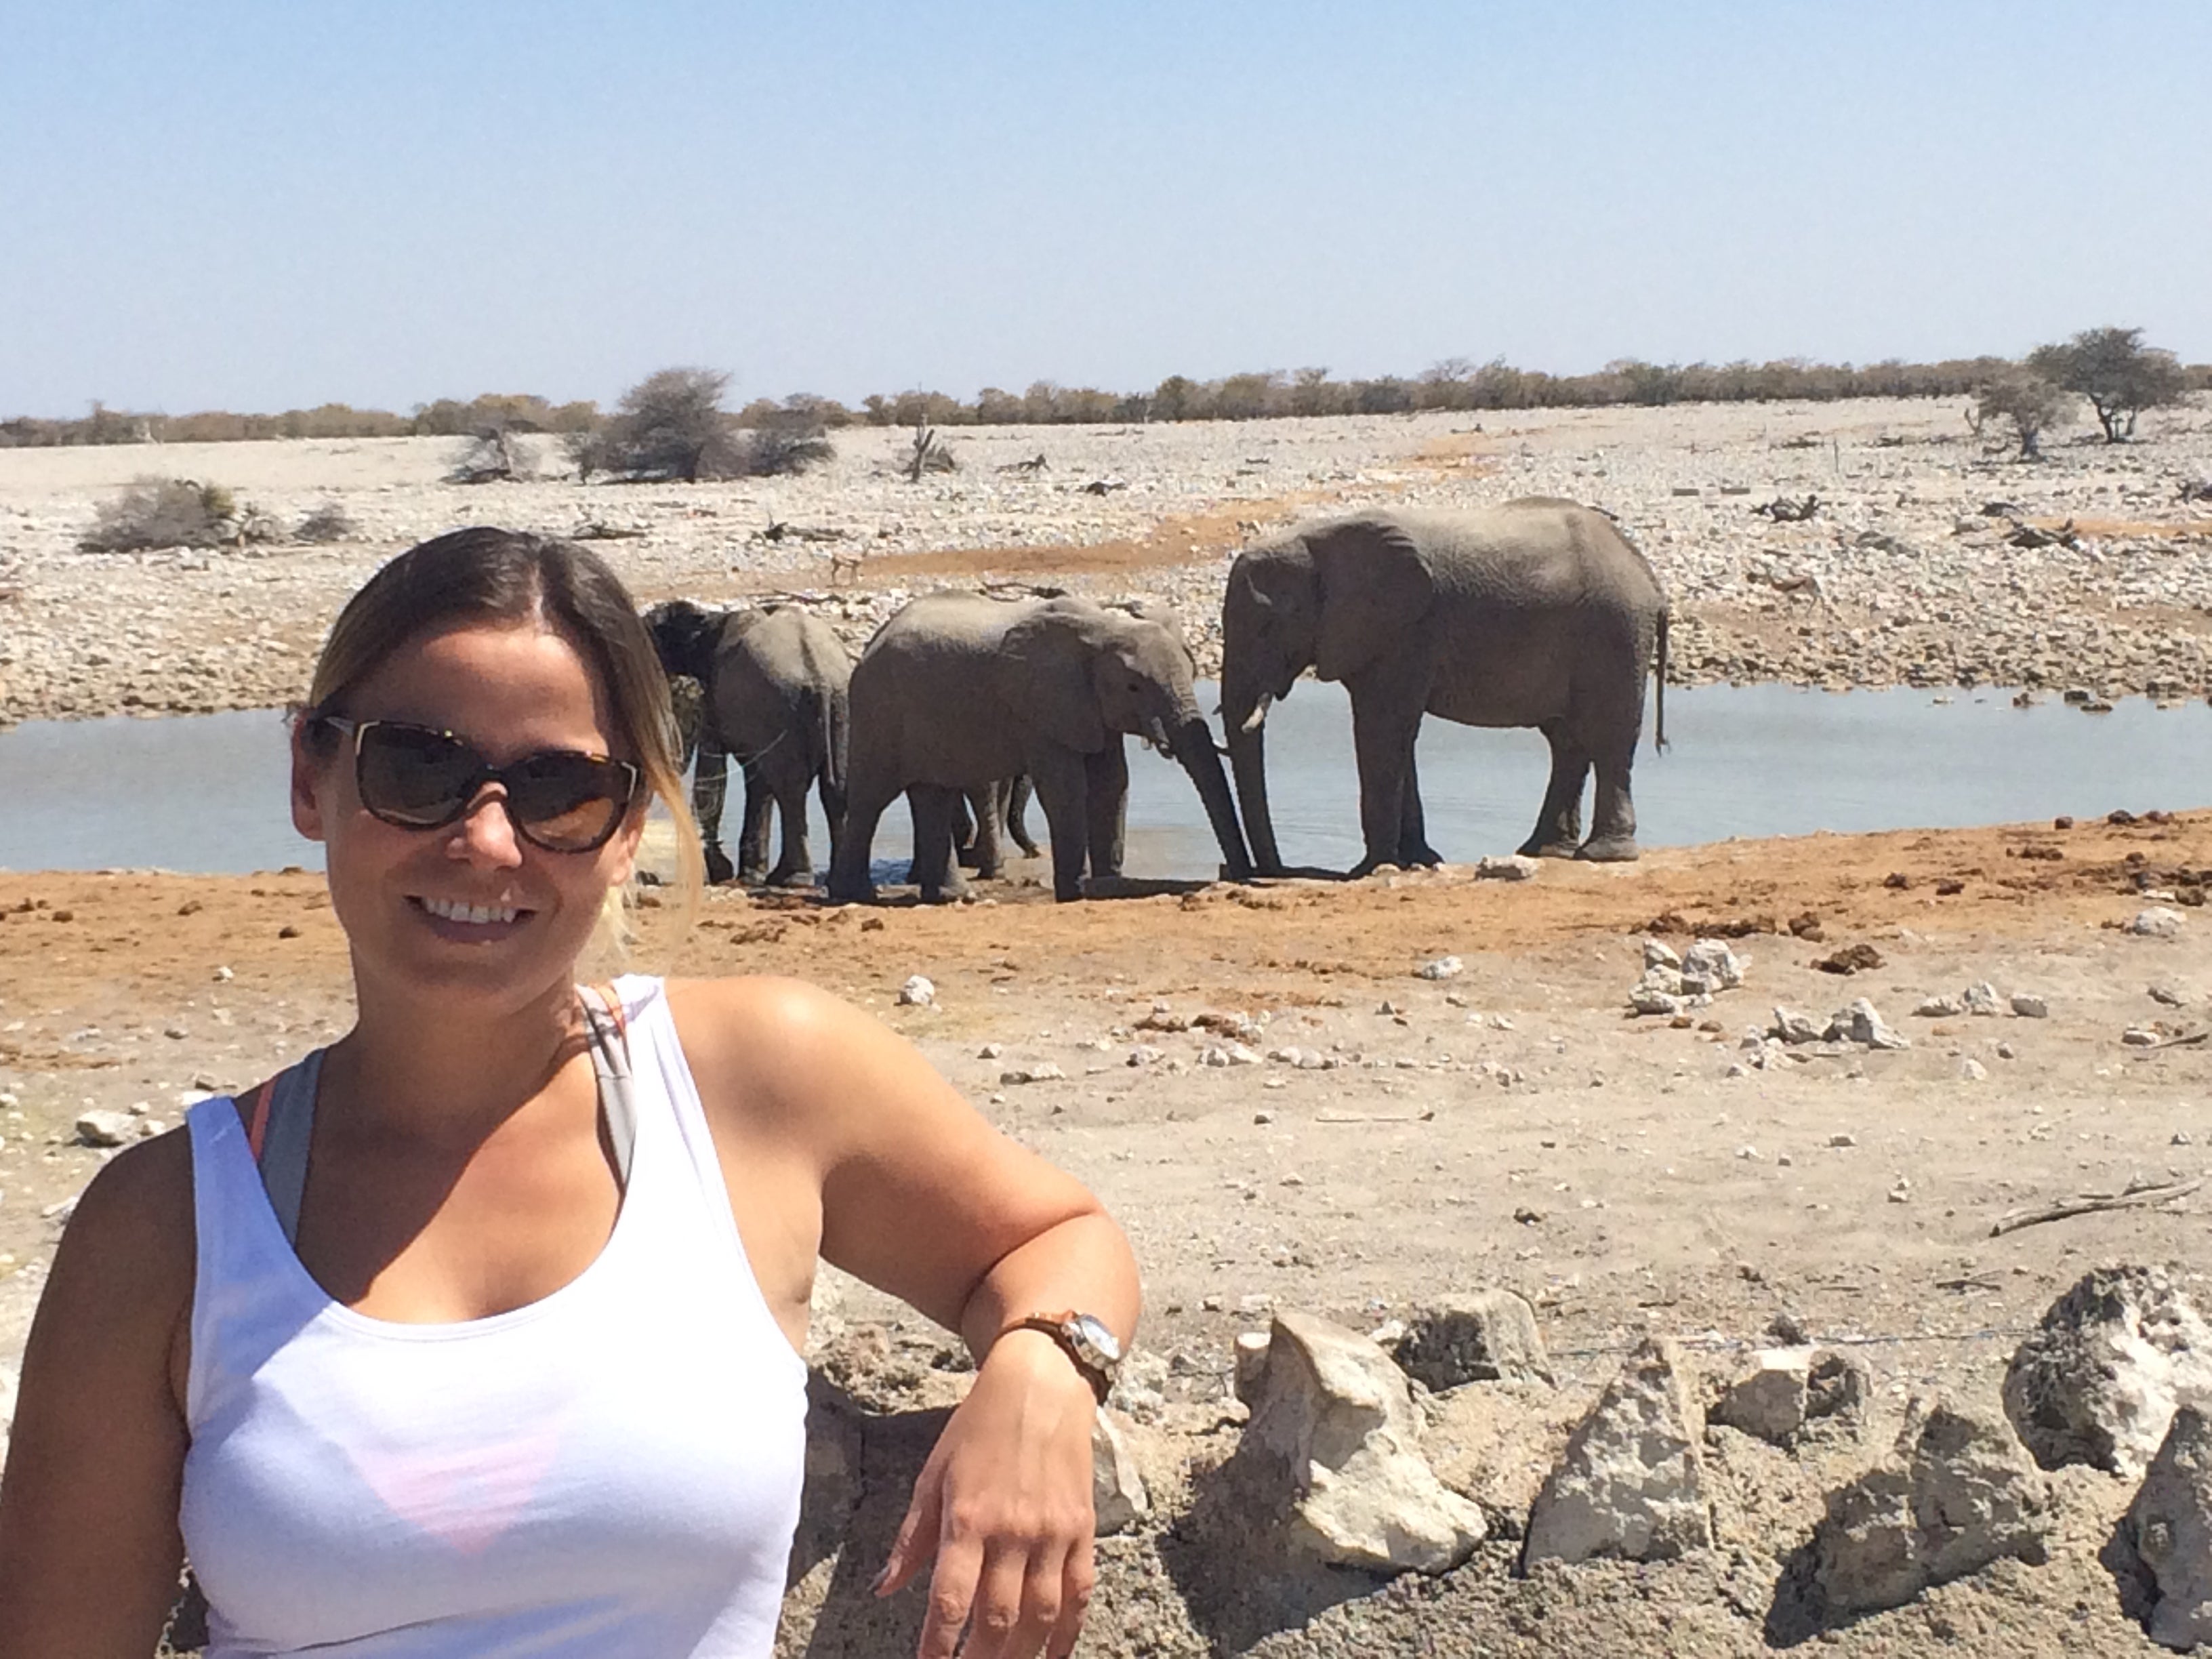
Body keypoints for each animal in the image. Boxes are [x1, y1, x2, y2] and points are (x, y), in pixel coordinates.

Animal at [646, 601, 849, 889]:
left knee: (791, 789)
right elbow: (757, 781)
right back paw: (831, 878)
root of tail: (820, 673)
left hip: (782, 707)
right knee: (835, 787)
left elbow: (712, 775)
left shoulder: (715, 698)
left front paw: (722, 871)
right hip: (842, 706)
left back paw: (792, 879)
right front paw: (749, 874)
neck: (708, 619)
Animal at [827, 592, 1256, 911]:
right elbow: (1066, 788)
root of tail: (870, 644)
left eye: (1192, 672)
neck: (1104, 627)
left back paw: (952, 897)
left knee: (931, 794)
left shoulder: (1090, 708)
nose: (1234, 874)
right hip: (878, 708)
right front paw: (1077, 890)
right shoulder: (1044, 706)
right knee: (871, 797)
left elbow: (1112, 784)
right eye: (1134, 687)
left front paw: (1109, 883)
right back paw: (855, 895)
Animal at [1221, 504, 1663, 872]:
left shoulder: (1406, 631)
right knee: (1567, 742)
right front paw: (1418, 861)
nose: (1274, 871)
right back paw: (1545, 851)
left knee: (1609, 737)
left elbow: (1382, 730)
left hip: (1617, 628)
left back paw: (1603, 855)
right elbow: (1398, 735)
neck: (1317, 537)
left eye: (1266, 627)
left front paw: (1370, 870)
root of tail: (1645, 572)